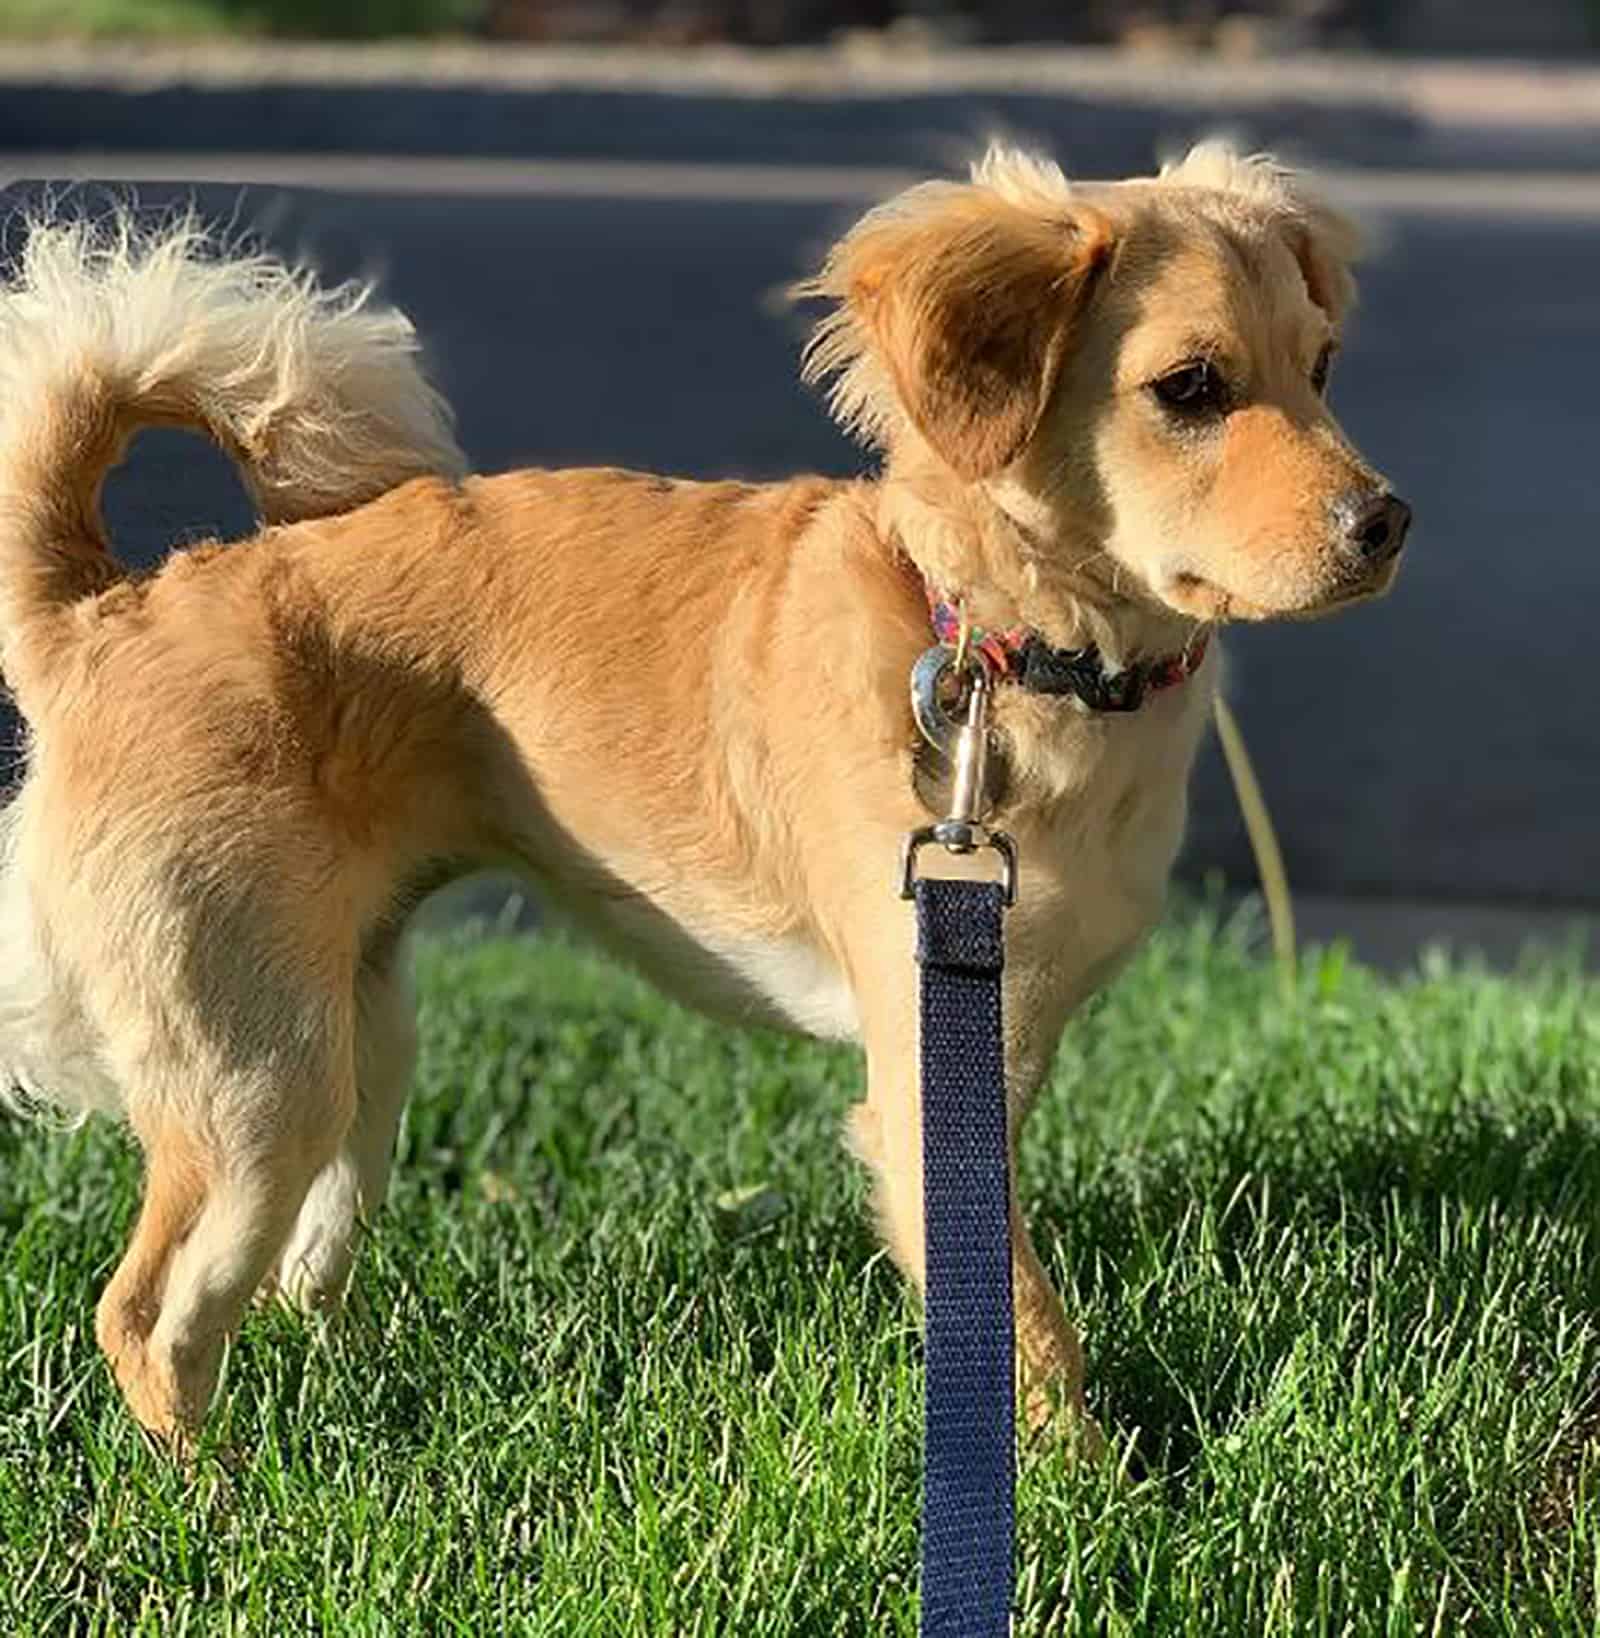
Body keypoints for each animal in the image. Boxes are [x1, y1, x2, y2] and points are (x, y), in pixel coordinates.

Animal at [0, 144, 1401, 1447]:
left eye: (1325, 368)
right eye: (1190, 387)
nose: (1386, 522)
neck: (1003, 649)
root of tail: (103, 613)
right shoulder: (925, 1078)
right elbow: (1021, 1326)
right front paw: (1089, 1487)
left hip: (353, 1035)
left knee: (298, 1274)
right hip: (256, 1081)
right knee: (145, 1316)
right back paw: (217, 1490)